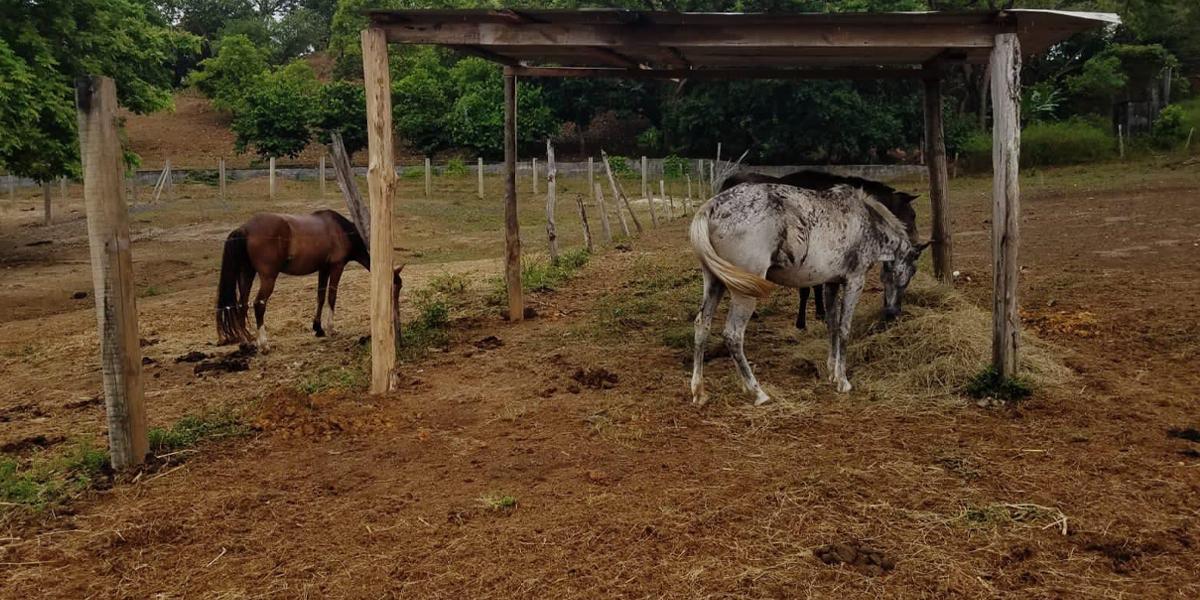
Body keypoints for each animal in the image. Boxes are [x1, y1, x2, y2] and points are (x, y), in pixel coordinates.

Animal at [216, 210, 403, 350]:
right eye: (396, 288)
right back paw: (263, 343)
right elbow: (332, 296)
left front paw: (318, 328)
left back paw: (246, 341)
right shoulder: (336, 266)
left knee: (242, 304)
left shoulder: (323, 269)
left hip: (246, 274)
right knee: (258, 304)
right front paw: (330, 328)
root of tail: (245, 229)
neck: (341, 230)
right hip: (268, 278)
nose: (396, 319)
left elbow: (320, 297)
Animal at [720, 170, 916, 328]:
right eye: (912, 215)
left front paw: (821, 313)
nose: (914, 243)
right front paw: (802, 322)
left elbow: (818, 285)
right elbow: (808, 288)